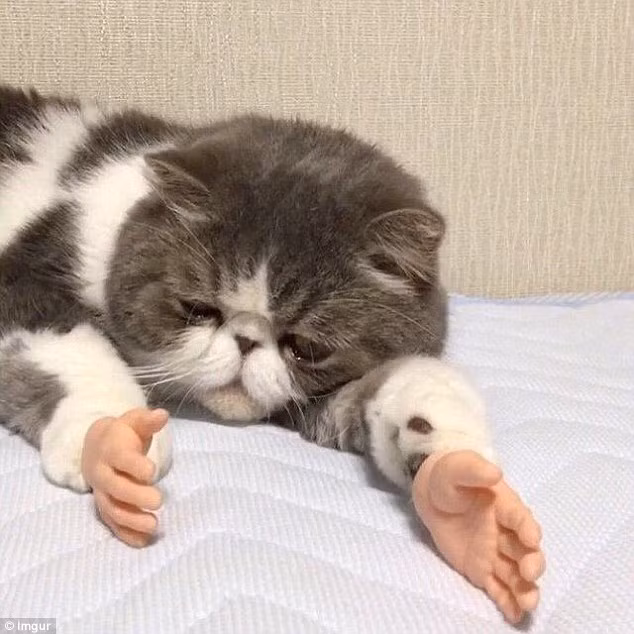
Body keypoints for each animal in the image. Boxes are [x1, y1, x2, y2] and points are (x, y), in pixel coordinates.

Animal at [0, 85, 493, 494]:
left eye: (309, 347)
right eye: (197, 309)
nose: (245, 341)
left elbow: (390, 382)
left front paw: (445, 445)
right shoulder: (22, 277)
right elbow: (75, 349)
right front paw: (110, 438)